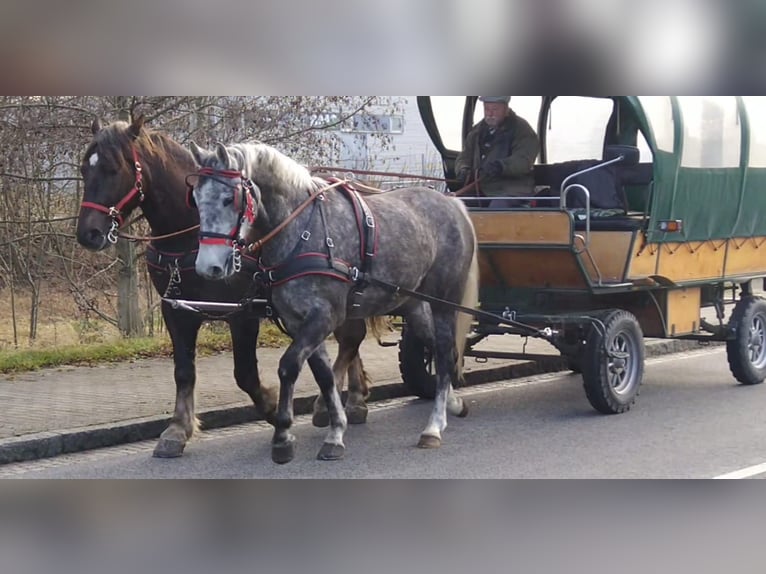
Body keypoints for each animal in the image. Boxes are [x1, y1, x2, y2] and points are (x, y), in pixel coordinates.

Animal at [78, 119, 376, 462]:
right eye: (84, 169)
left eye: (113, 169)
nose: (88, 233)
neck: (189, 234)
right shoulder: (175, 308)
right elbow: (184, 371)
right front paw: (177, 430)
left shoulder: (241, 313)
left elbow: (244, 373)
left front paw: (273, 409)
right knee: (350, 340)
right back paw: (352, 398)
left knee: (351, 337)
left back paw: (340, 403)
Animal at [189, 142, 476, 466]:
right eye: (196, 199)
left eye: (229, 198)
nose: (208, 267)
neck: (302, 230)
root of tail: (452, 203)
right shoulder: (298, 321)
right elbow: (323, 375)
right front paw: (335, 430)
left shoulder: (324, 316)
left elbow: (289, 366)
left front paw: (283, 435)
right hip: (415, 304)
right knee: (441, 350)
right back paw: (453, 404)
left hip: (444, 300)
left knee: (444, 352)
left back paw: (433, 426)